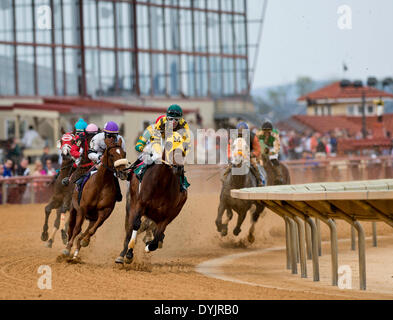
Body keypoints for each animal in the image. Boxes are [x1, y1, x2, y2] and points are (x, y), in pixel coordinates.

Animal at [115, 136, 187, 264]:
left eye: (185, 148)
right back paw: (122, 254)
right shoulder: (140, 205)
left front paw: (149, 245)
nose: (178, 167)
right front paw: (129, 254)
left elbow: (157, 237)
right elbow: (136, 225)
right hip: (131, 206)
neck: (161, 184)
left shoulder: (167, 216)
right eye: (169, 145)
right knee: (129, 229)